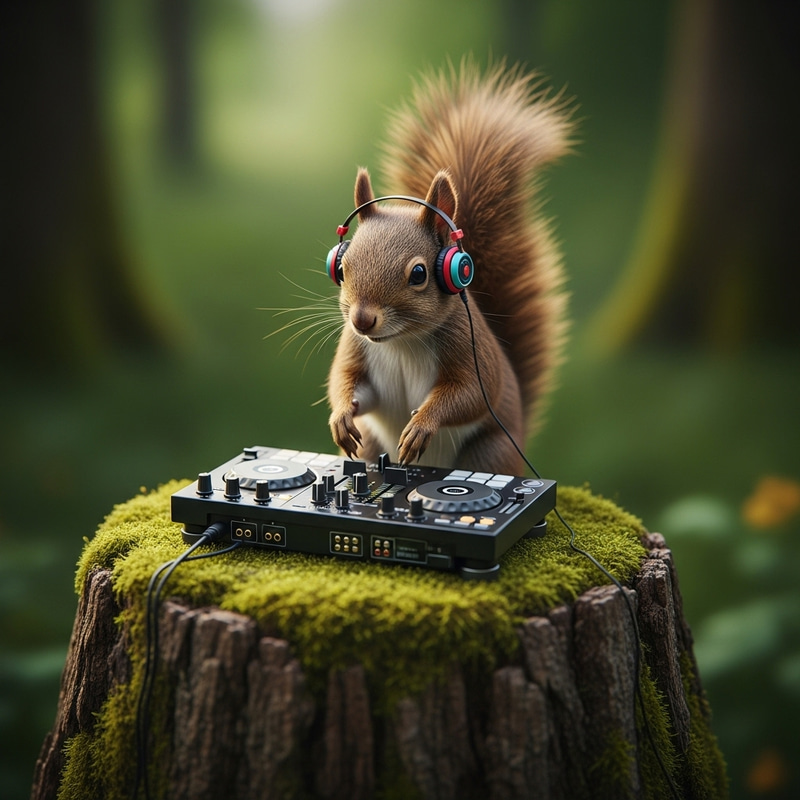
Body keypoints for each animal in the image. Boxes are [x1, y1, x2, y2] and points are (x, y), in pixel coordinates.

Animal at [326, 59, 574, 475]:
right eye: (341, 268)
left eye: (419, 274)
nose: (362, 320)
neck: (401, 343)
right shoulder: (356, 349)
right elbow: (346, 382)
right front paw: (342, 417)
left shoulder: (468, 349)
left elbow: (469, 393)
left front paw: (420, 426)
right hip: (371, 448)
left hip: (489, 452)